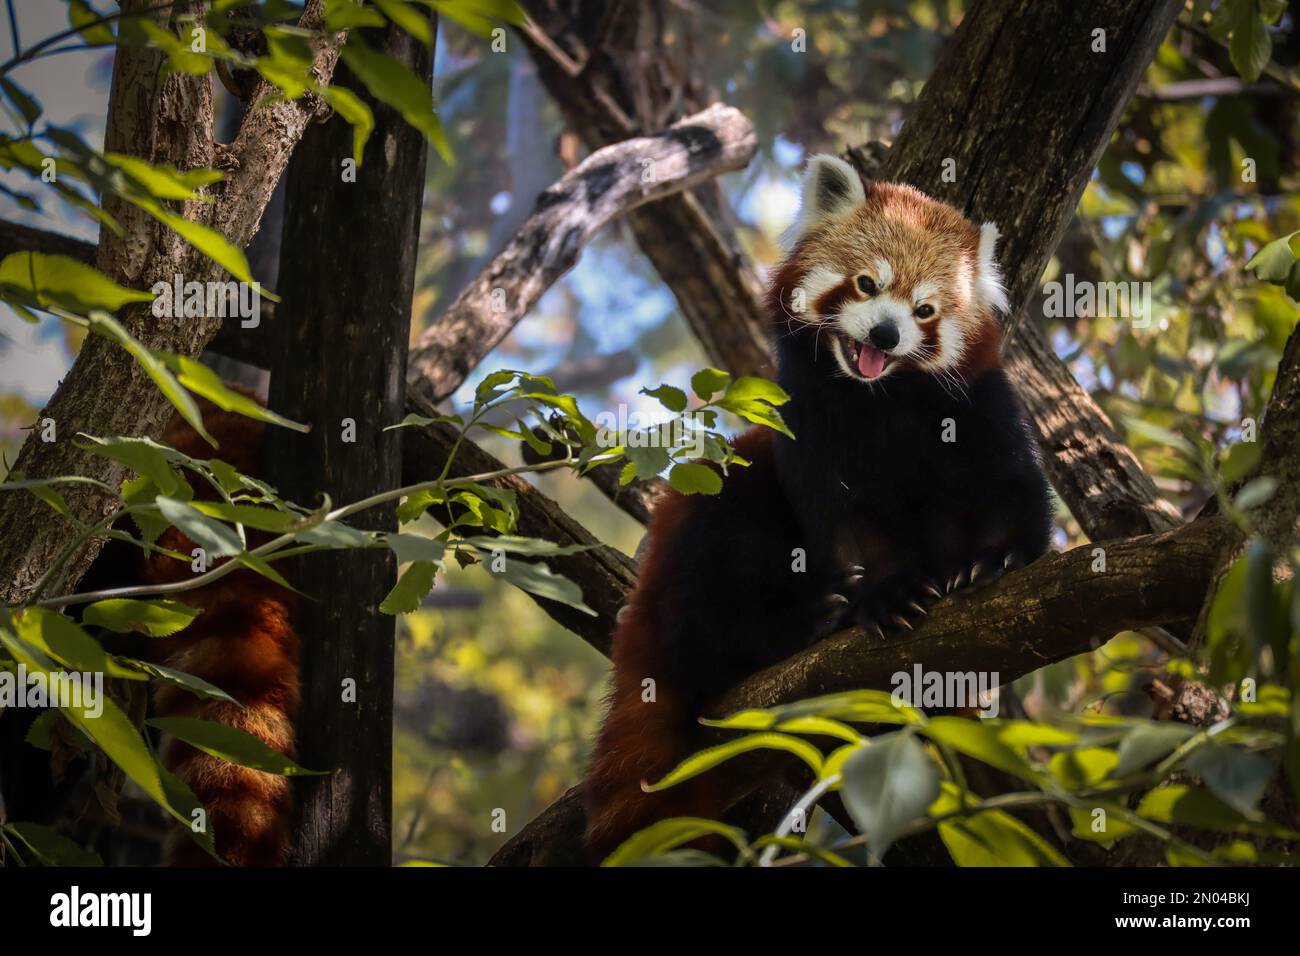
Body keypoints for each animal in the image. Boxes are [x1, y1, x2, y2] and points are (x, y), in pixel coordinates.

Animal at [585, 155, 1050, 858]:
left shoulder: (978, 407)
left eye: (925, 309)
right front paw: (885, 595)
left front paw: (996, 557)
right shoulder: (806, 429)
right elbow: (845, 525)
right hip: (700, 535)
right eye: (865, 284)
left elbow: (1012, 487)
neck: (880, 398)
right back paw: (800, 624)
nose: (885, 331)